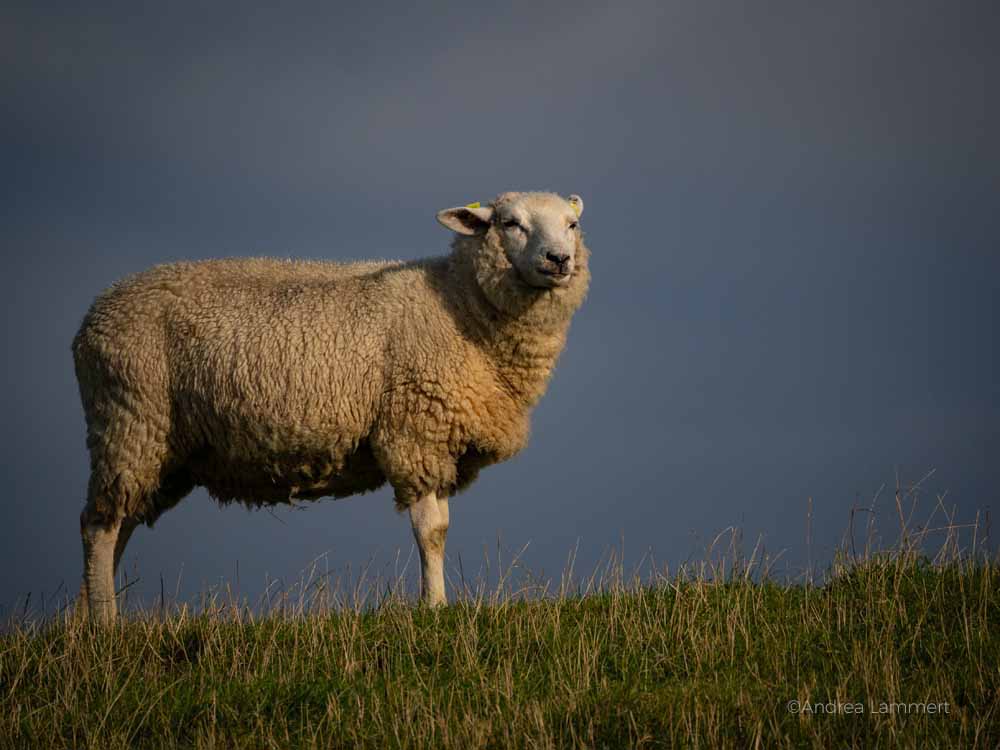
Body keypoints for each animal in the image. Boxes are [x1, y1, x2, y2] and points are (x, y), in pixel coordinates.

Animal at [76, 192, 584, 624]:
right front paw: (435, 607)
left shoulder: (437, 442)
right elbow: (432, 530)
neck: (459, 305)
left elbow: (438, 526)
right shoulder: (413, 433)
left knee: (121, 524)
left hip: (164, 449)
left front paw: (436, 601)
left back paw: (87, 618)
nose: (559, 259)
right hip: (128, 418)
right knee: (99, 526)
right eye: (510, 223)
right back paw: (104, 623)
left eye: (572, 224)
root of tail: (94, 316)